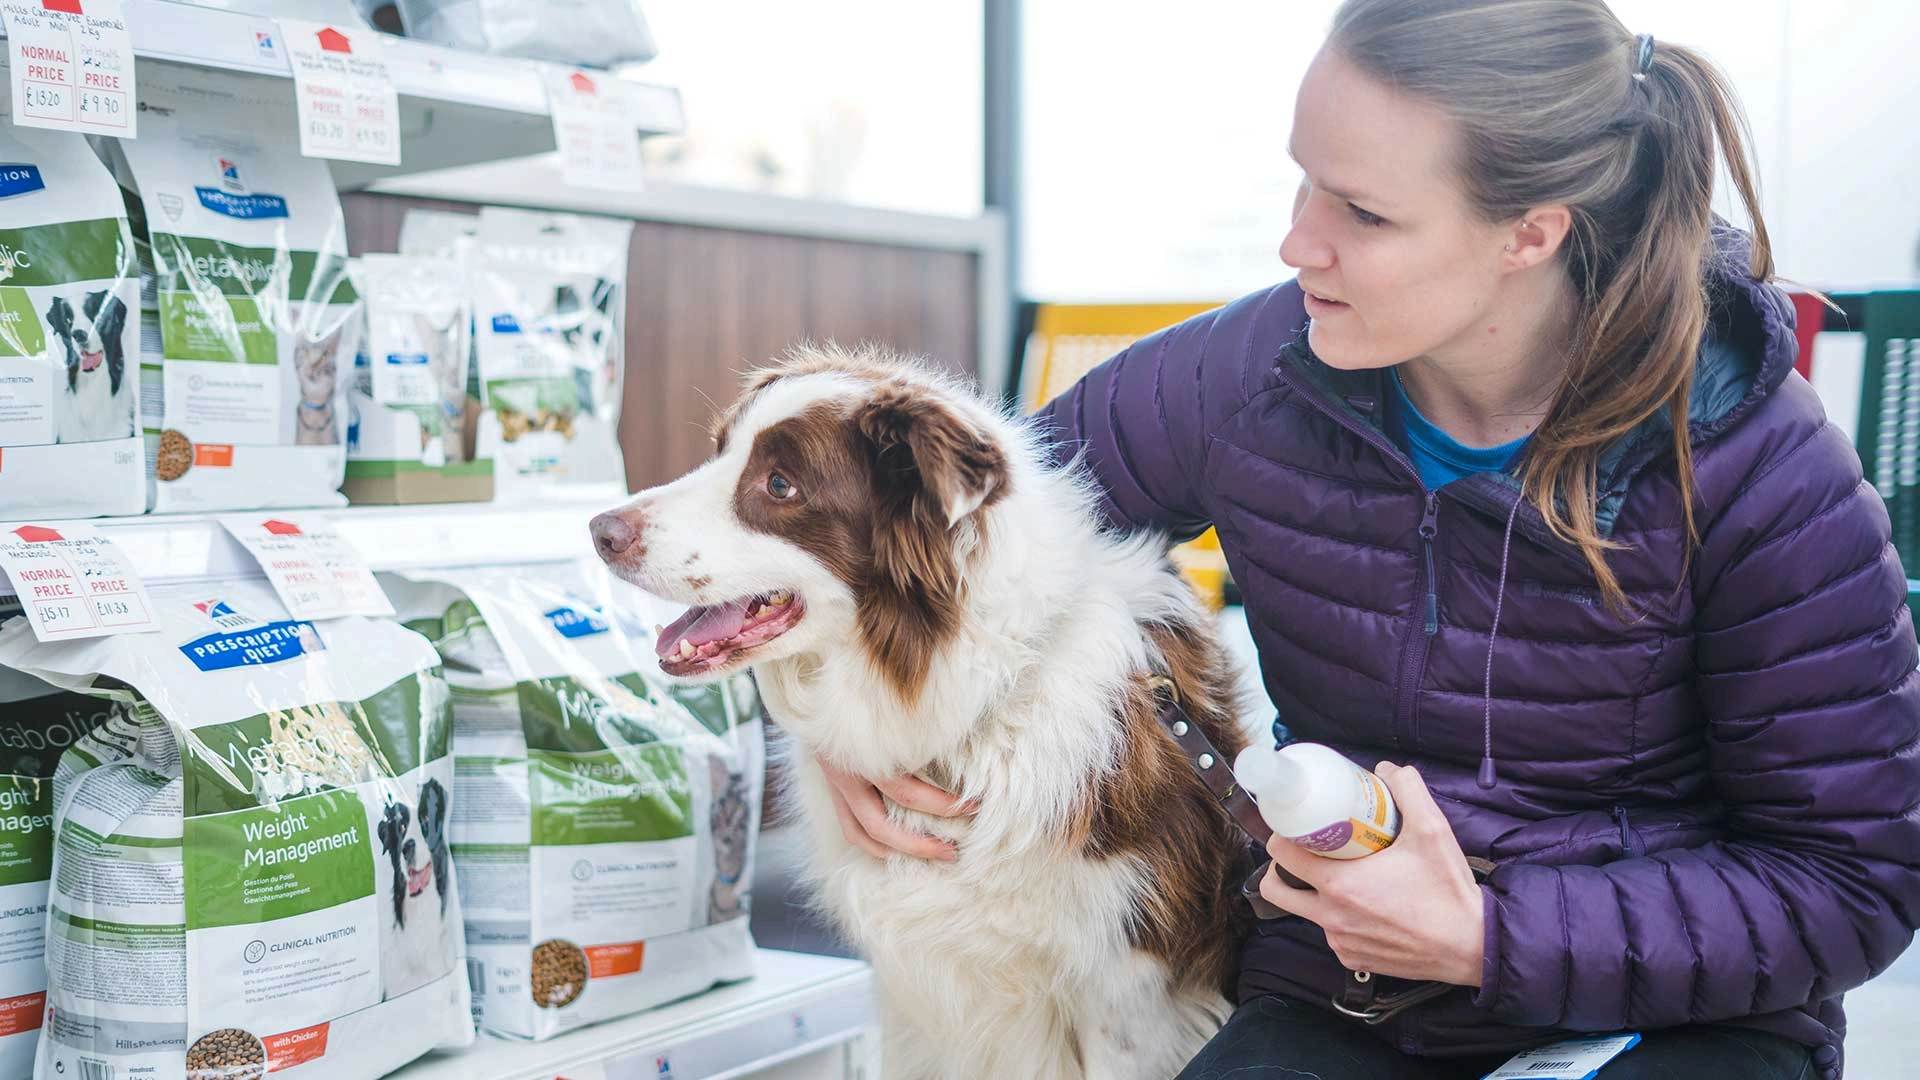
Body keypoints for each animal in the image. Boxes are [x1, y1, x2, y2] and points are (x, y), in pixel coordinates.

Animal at [591, 345, 1244, 1076]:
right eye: (719, 450)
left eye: (780, 484)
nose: (599, 530)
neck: (976, 706)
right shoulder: (917, 1000)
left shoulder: (1130, 992)